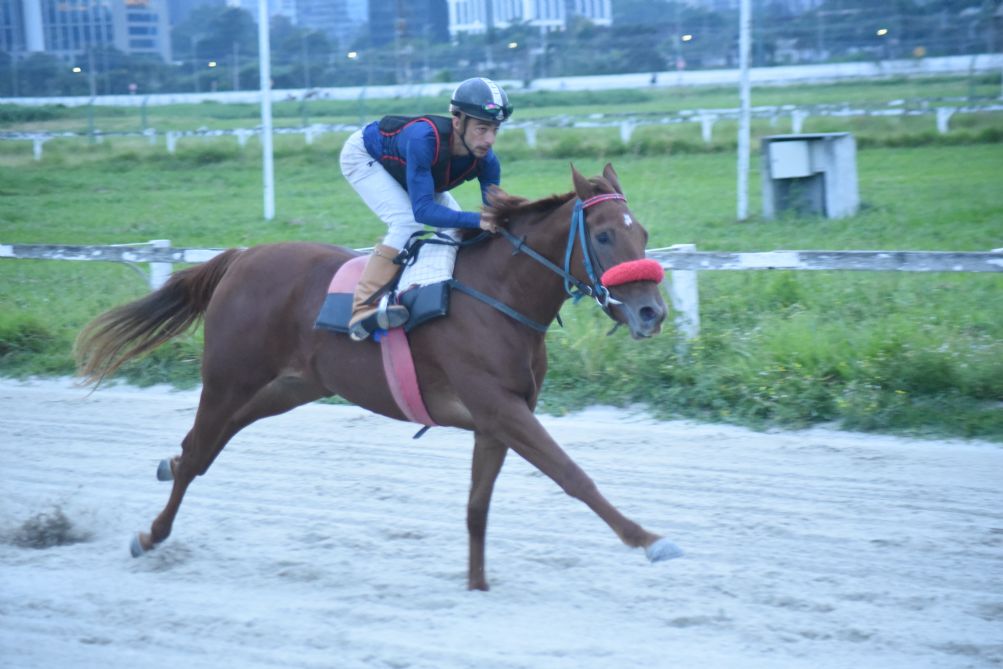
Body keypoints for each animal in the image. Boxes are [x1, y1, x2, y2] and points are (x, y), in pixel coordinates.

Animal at [75, 163, 682, 591]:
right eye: (603, 237)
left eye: (645, 232)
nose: (651, 313)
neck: (499, 296)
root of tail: (242, 258)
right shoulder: (500, 407)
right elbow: (573, 475)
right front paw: (650, 540)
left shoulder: (498, 418)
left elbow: (477, 507)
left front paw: (477, 585)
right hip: (229, 377)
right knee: (203, 447)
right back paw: (152, 532)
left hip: (291, 386)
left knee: (206, 443)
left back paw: (169, 465)